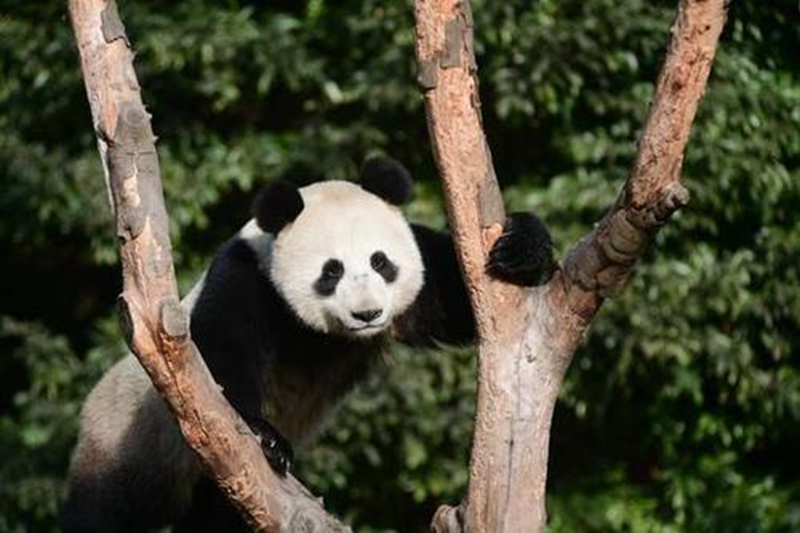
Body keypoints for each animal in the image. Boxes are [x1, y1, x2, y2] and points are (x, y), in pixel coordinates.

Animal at [61, 156, 556, 528]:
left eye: (381, 262)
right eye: (331, 270)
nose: (368, 314)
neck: (324, 335)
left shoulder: (422, 276)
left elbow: (458, 297)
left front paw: (521, 248)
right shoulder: (248, 277)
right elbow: (215, 360)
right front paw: (265, 437)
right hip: (126, 442)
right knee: (103, 511)